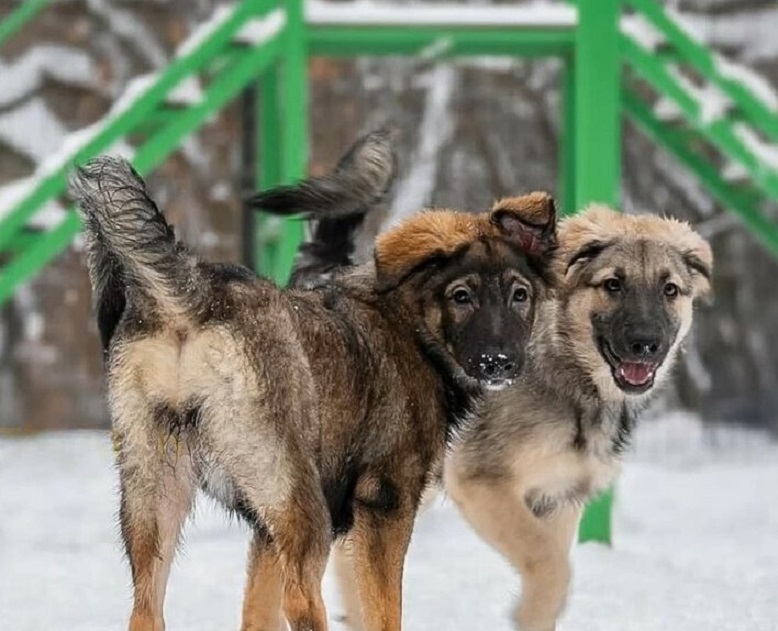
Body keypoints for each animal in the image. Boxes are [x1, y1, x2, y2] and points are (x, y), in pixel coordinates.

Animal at [65, 147, 552, 628]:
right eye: (461, 296)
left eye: (520, 295)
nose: (500, 362)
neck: (409, 321)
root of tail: (192, 294)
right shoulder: (384, 507)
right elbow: (382, 612)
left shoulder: (265, 530)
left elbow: (256, 614)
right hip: (300, 503)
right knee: (300, 600)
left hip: (156, 498)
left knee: (145, 611)